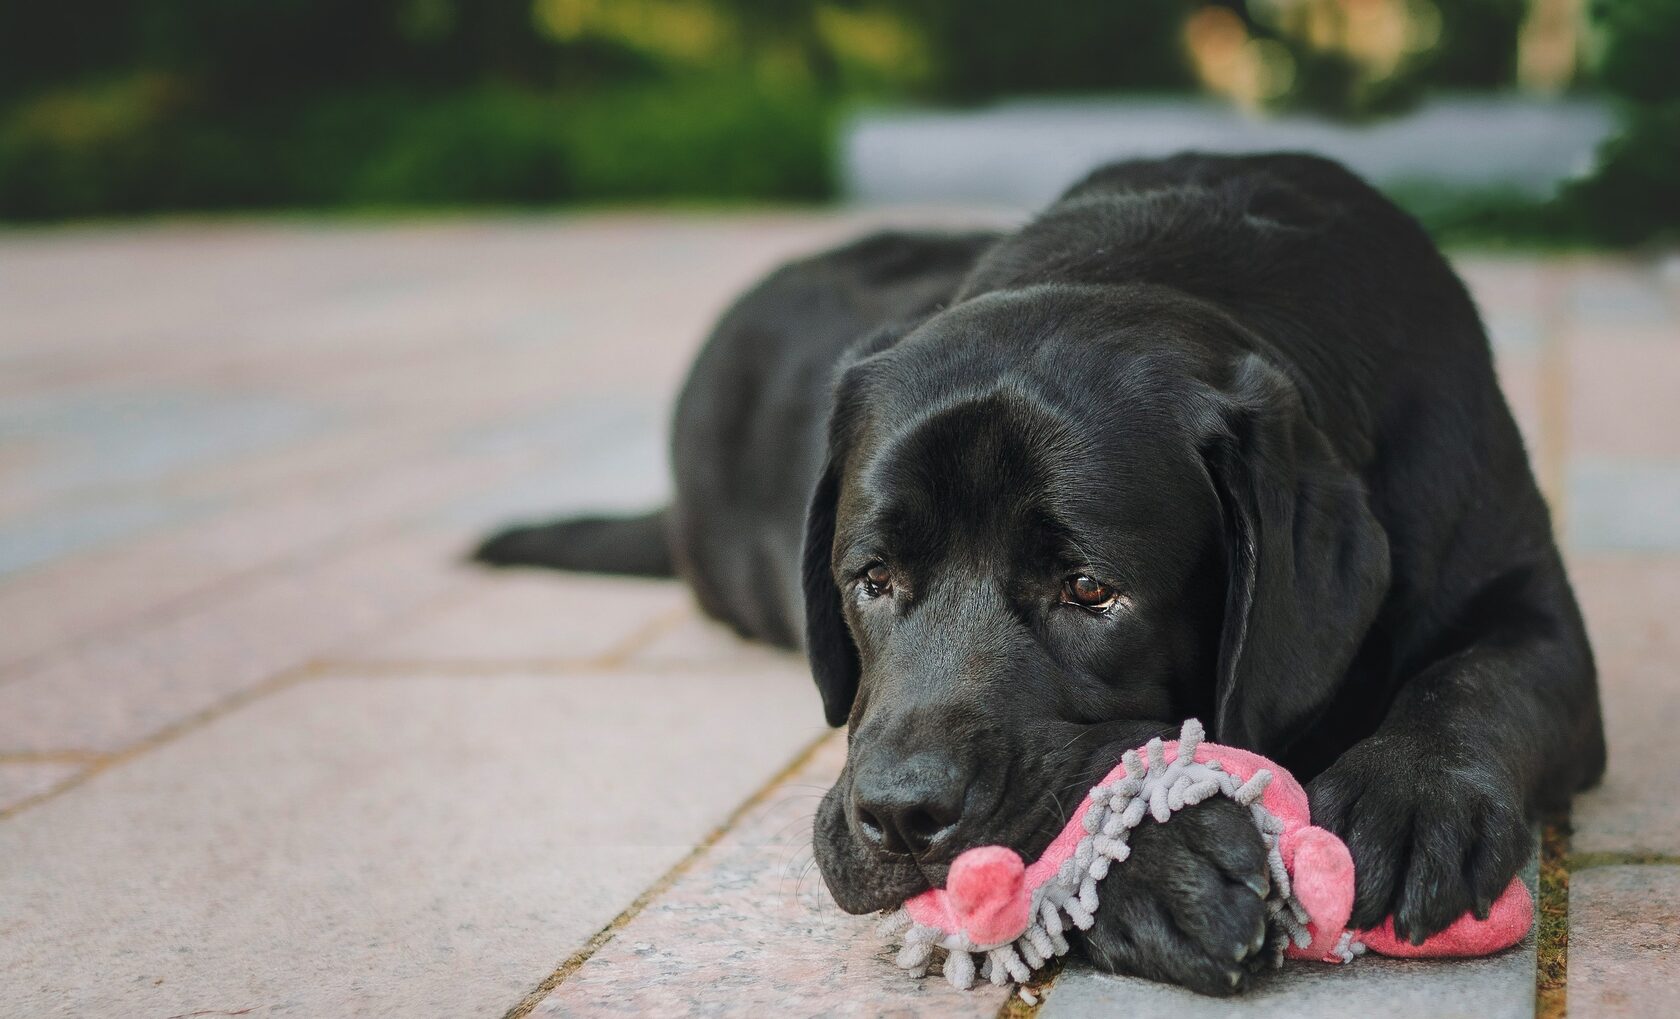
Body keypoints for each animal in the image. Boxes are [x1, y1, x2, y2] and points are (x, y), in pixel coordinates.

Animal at [480, 153, 1606, 993]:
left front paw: (1412, 799)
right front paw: (1167, 863)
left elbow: (1480, 677)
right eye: (872, 577)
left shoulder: (1531, 601)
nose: (900, 814)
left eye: (1091, 590)